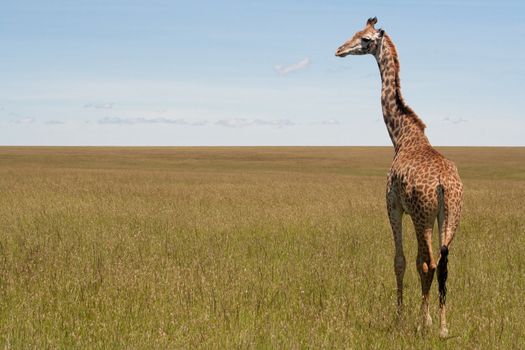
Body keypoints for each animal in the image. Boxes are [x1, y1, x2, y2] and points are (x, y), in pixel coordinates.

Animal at [336, 17, 462, 338]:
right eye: (356, 33)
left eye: (366, 39)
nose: (340, 50)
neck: (402, 137)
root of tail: (444, 186)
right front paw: (425, 320)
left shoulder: (393, 206)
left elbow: (400, 261)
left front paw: (401, 317)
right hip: (450, 217)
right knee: (444, 262)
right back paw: (443, 327)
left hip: (422, 216)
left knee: (428, 263)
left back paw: (423, 322)